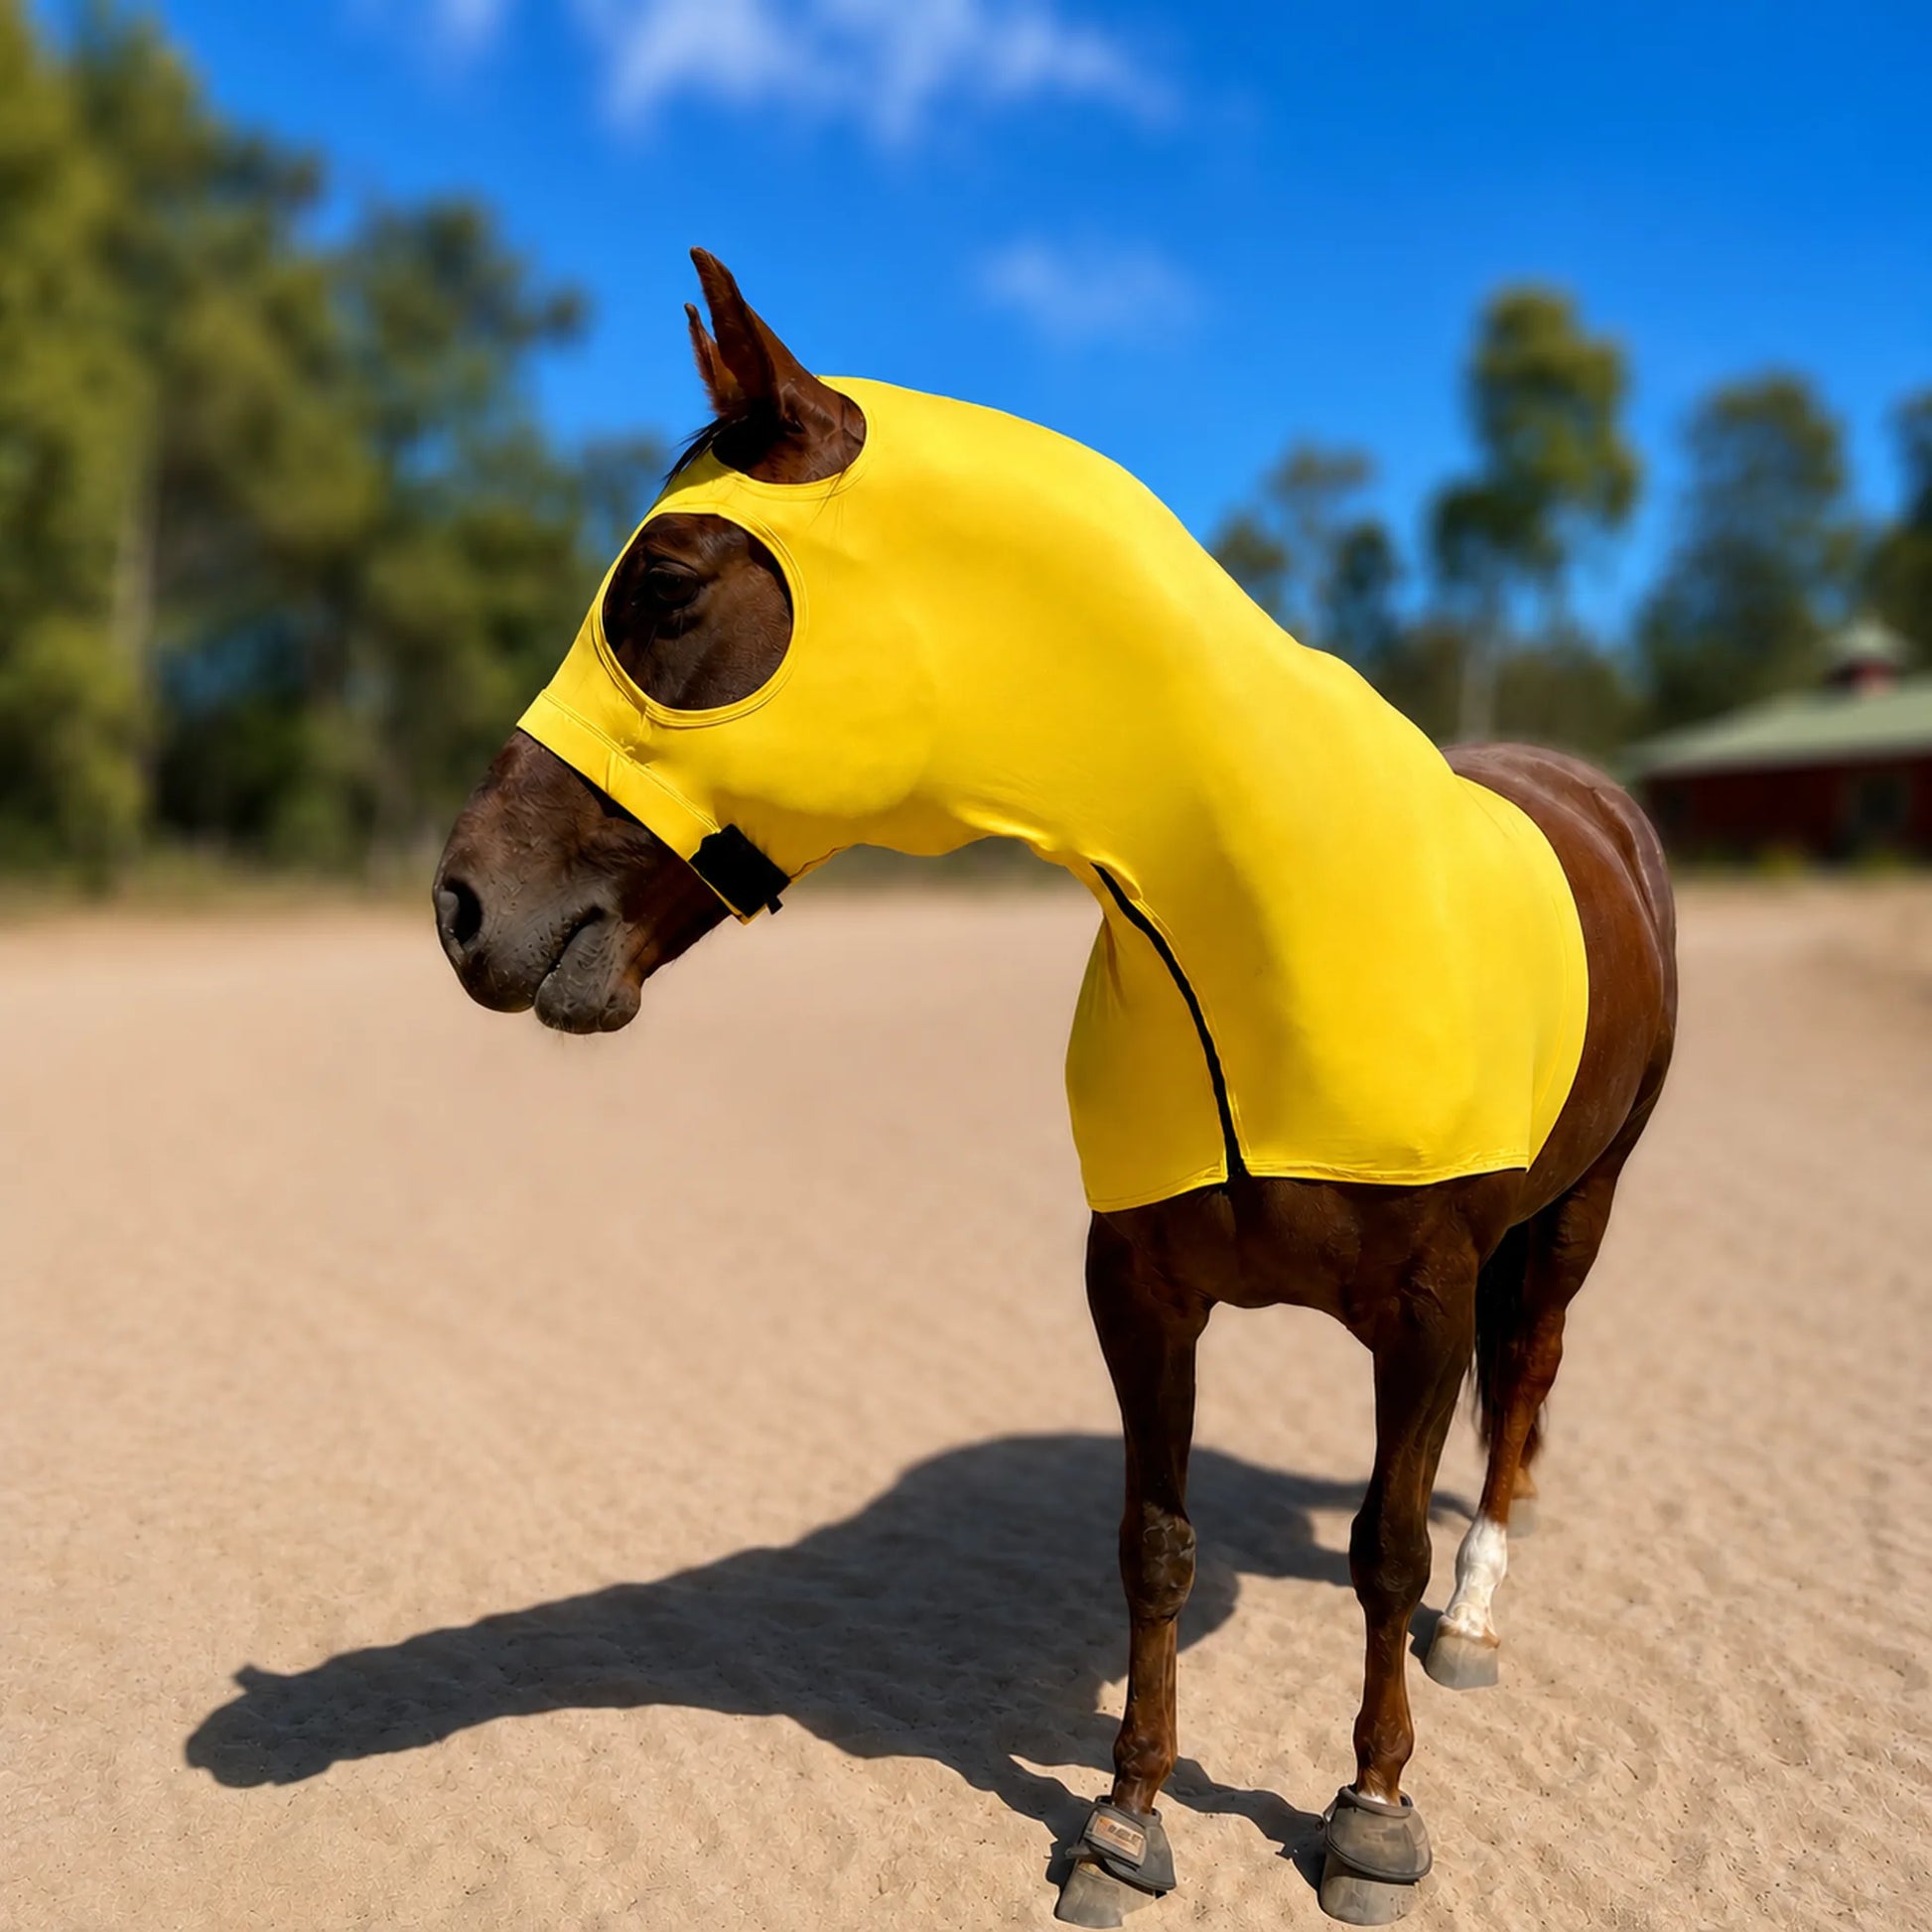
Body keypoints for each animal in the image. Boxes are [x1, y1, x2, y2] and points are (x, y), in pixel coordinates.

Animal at [433, 250, 1677, 1926]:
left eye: (668, 588)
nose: (461, 906)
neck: (1248, 928)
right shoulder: (1138, 1287)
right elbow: (1154, 1543)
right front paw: (1125, 1819)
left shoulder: (1423, 1306)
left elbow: (1383, 1549)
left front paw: (1369, 1814)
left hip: (1574, 1215)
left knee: (1524, 1389)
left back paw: (1477, 1625)